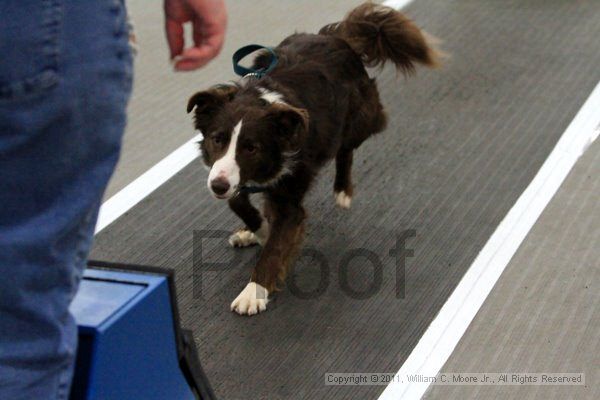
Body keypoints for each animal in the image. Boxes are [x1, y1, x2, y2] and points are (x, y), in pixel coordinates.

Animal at [188, 3, 440, 316]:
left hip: (362, 118)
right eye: (217, 139)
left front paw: (253, 292)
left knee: (346, 148)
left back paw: (343, 190)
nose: (218, 186)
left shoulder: (289, 200)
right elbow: (240, 202)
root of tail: (336, 37)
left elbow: (275, 247)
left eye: (252, 148)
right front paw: (257, 229)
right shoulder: (230, 176)